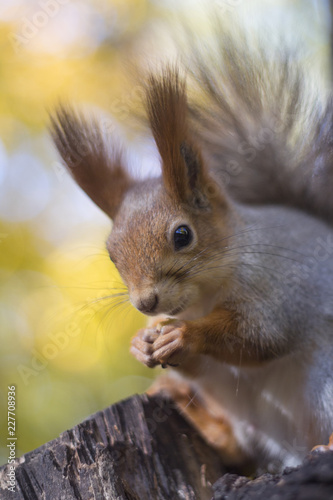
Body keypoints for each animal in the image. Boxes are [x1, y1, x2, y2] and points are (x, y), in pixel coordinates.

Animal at [49, 29, 332, 474]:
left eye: (182, 235)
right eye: (112, 254)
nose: (145, 303)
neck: (204, 298)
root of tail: (296, 446)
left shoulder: (279, 289)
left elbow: (260, 335)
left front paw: (184, 334)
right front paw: (142, 342)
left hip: (326, 383)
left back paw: (327, 445)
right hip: (239, 407)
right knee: (238, 448)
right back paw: (191, 410)